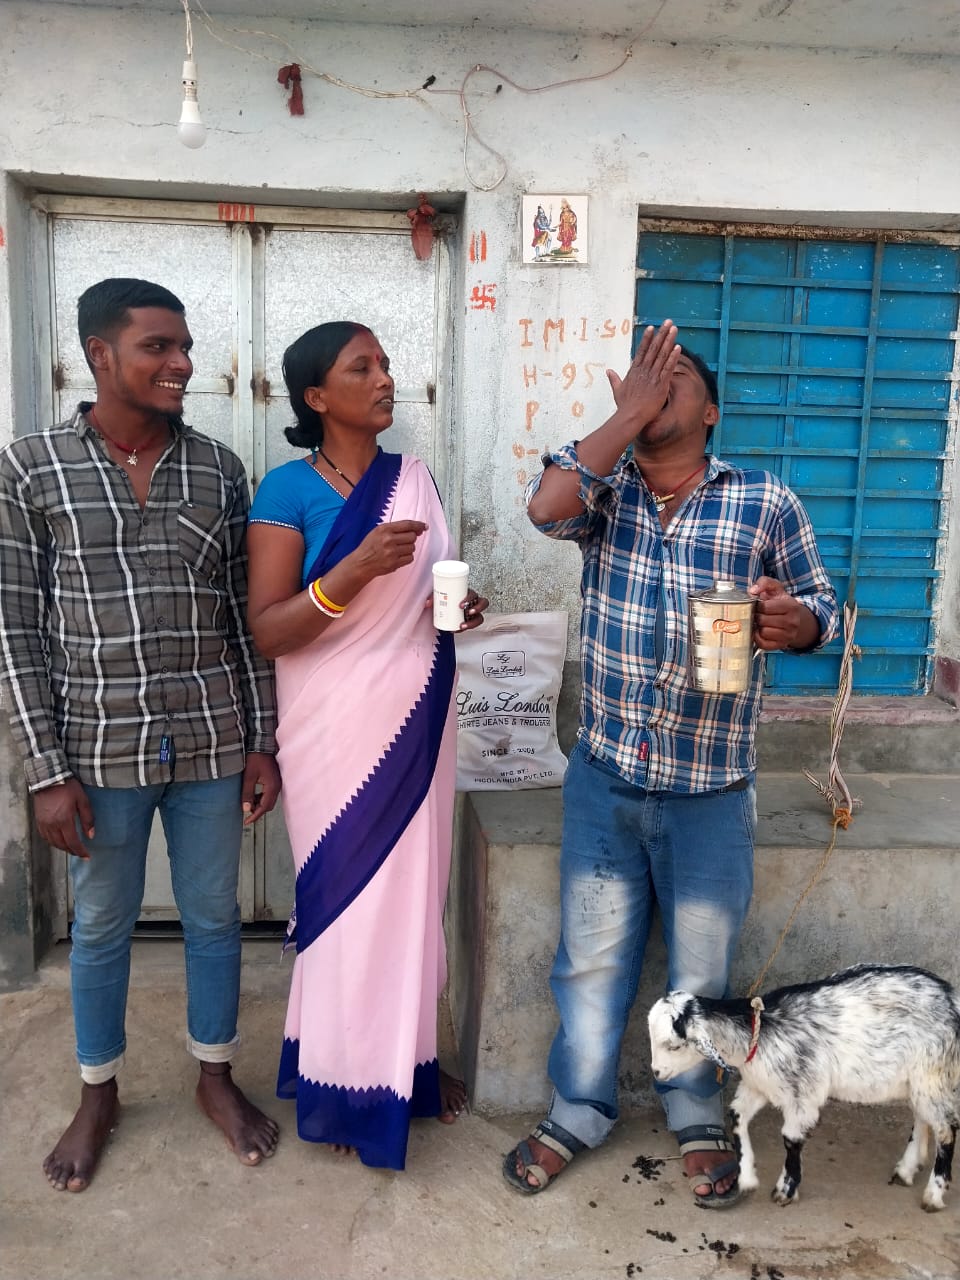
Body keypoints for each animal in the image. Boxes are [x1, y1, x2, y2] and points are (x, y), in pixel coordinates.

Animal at [648, 964, 960, 1212]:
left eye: (673, 1046)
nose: (657, 1072)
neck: (759, 1031)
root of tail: (952, 998)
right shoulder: (760, 1085)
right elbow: (737, 1117)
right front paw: (747, 1177)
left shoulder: (803, 1093)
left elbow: (790, 1139)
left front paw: (785, 1190)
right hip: (917, 1079)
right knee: (923, 1117)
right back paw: (907, 1169)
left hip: (932, 1071)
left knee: (946, 1129)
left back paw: (933, 1194)